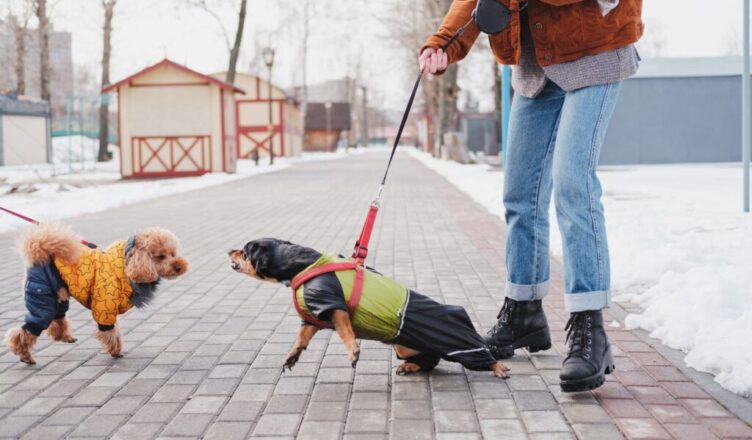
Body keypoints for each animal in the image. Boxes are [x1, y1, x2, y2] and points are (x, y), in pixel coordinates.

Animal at [229, 237, 512, 378]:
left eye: (244, 251)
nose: (229, 251)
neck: (300, 264)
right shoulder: (314, 316)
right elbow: (301, 338)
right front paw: (291, 357)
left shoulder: (333, 305)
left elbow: (345, 331)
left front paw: (353, 352)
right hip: (405, 346)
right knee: (430, 361)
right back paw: (409, 367)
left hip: (457, 342)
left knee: (477, 356)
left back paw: (497, 368)